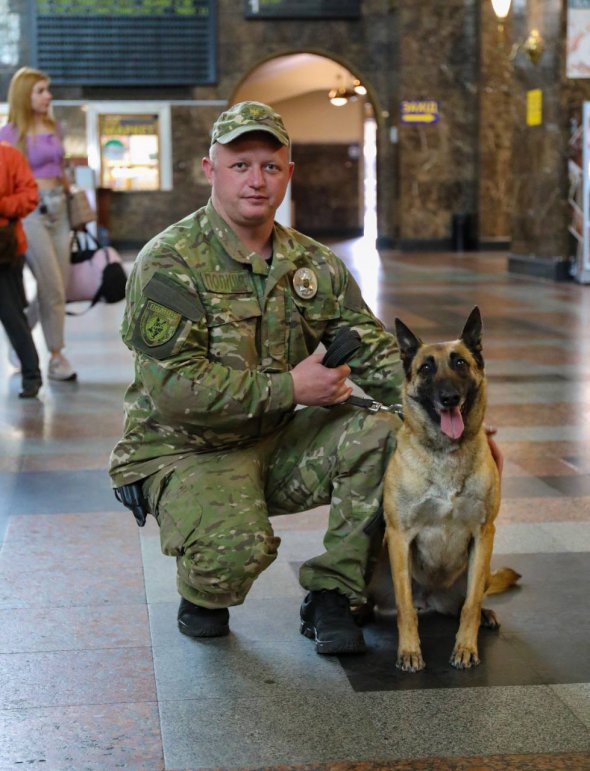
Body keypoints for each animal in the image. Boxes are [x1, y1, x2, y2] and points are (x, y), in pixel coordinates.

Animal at [382, 306, 520, 668]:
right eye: (426, 368)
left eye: (460, 363)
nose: (449, 398)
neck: (446, 454)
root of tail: (430, 600)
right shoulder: (399, 536)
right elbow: (403, 607)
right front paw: (409, 650)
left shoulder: (483, 534)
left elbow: (470, 605)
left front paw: (465, 647)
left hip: (477, 570)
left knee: (472, 599)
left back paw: (485, 615)